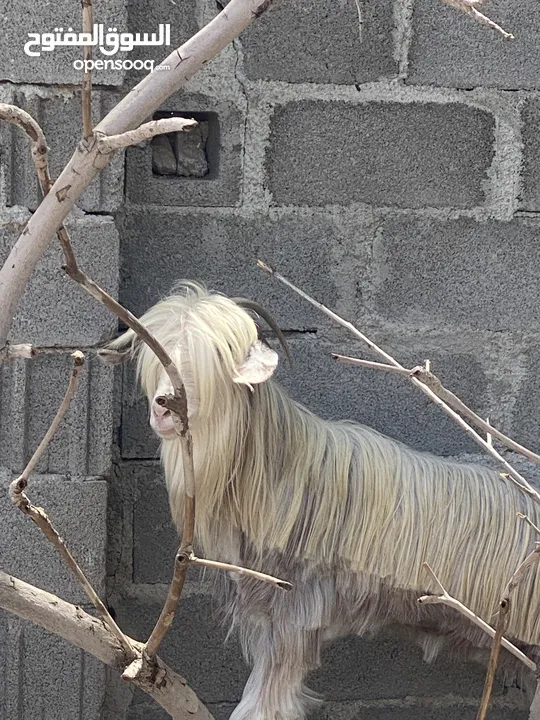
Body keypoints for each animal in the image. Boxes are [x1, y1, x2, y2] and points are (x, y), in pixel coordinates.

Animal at [102, 282, 540, 720]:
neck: (280, 472)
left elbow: (263, 705)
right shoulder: (269, 617)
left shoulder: (293, 616)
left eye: (218, 357)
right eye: (154, 355)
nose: (164, 407)